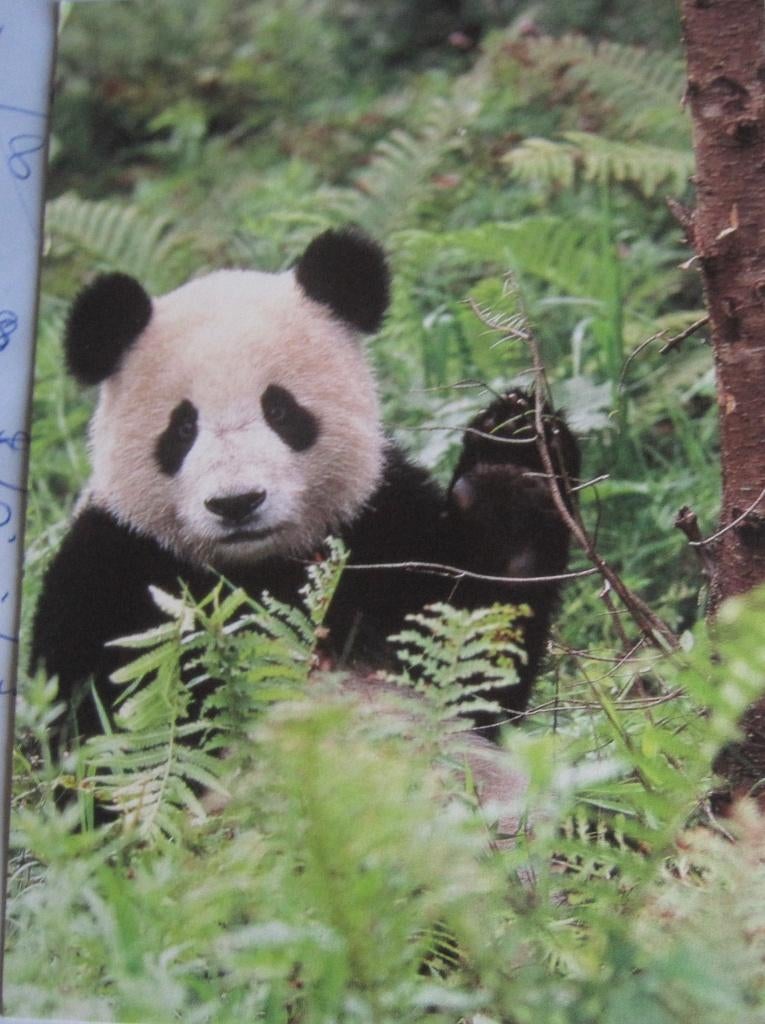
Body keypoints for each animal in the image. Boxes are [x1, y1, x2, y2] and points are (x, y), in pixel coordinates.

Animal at [30, 228, 580, 747]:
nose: (236, 503)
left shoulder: (384, 526)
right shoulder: (111, 563)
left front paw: (511, 468)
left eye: (280, 410)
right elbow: (96, 722)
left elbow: (471, 661)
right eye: (182, 428)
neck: (259, 571)